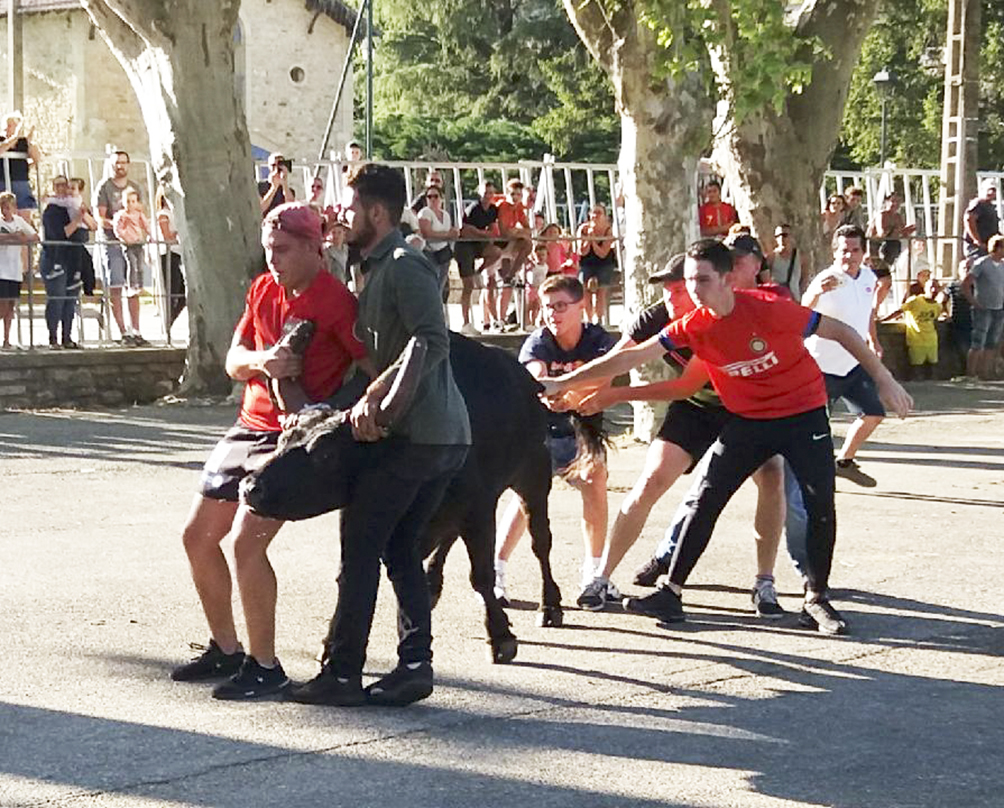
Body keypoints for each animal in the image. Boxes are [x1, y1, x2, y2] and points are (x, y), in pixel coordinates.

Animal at [241, 331, 570, 666]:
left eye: (325, 454)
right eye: (283, 439)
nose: (251, 487)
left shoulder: (480, 507)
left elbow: (481, 575)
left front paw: (501, 636)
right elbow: (349, 572)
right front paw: (329, 644)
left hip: (534, 474)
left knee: (540, 541)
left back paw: (550, 606)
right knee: (448, 538)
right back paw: (432, 585)